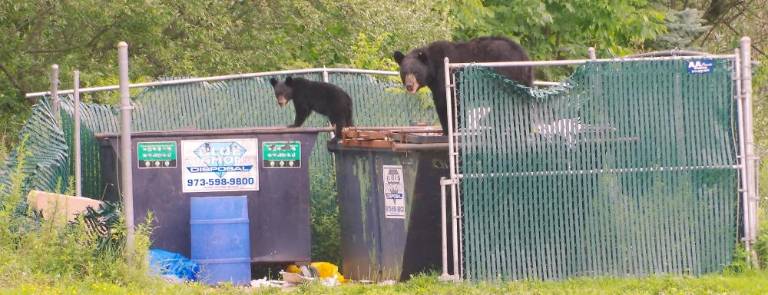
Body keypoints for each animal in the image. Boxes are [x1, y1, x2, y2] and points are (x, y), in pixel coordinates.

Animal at [392, 36, 532, 135]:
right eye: (404, 72)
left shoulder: (445, 77)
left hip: (505, 75)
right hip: (524, 80)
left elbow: (446, 103)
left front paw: (449, 130)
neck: (433, 69)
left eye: (416, 72)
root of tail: (522, 54)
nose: (409, 86)